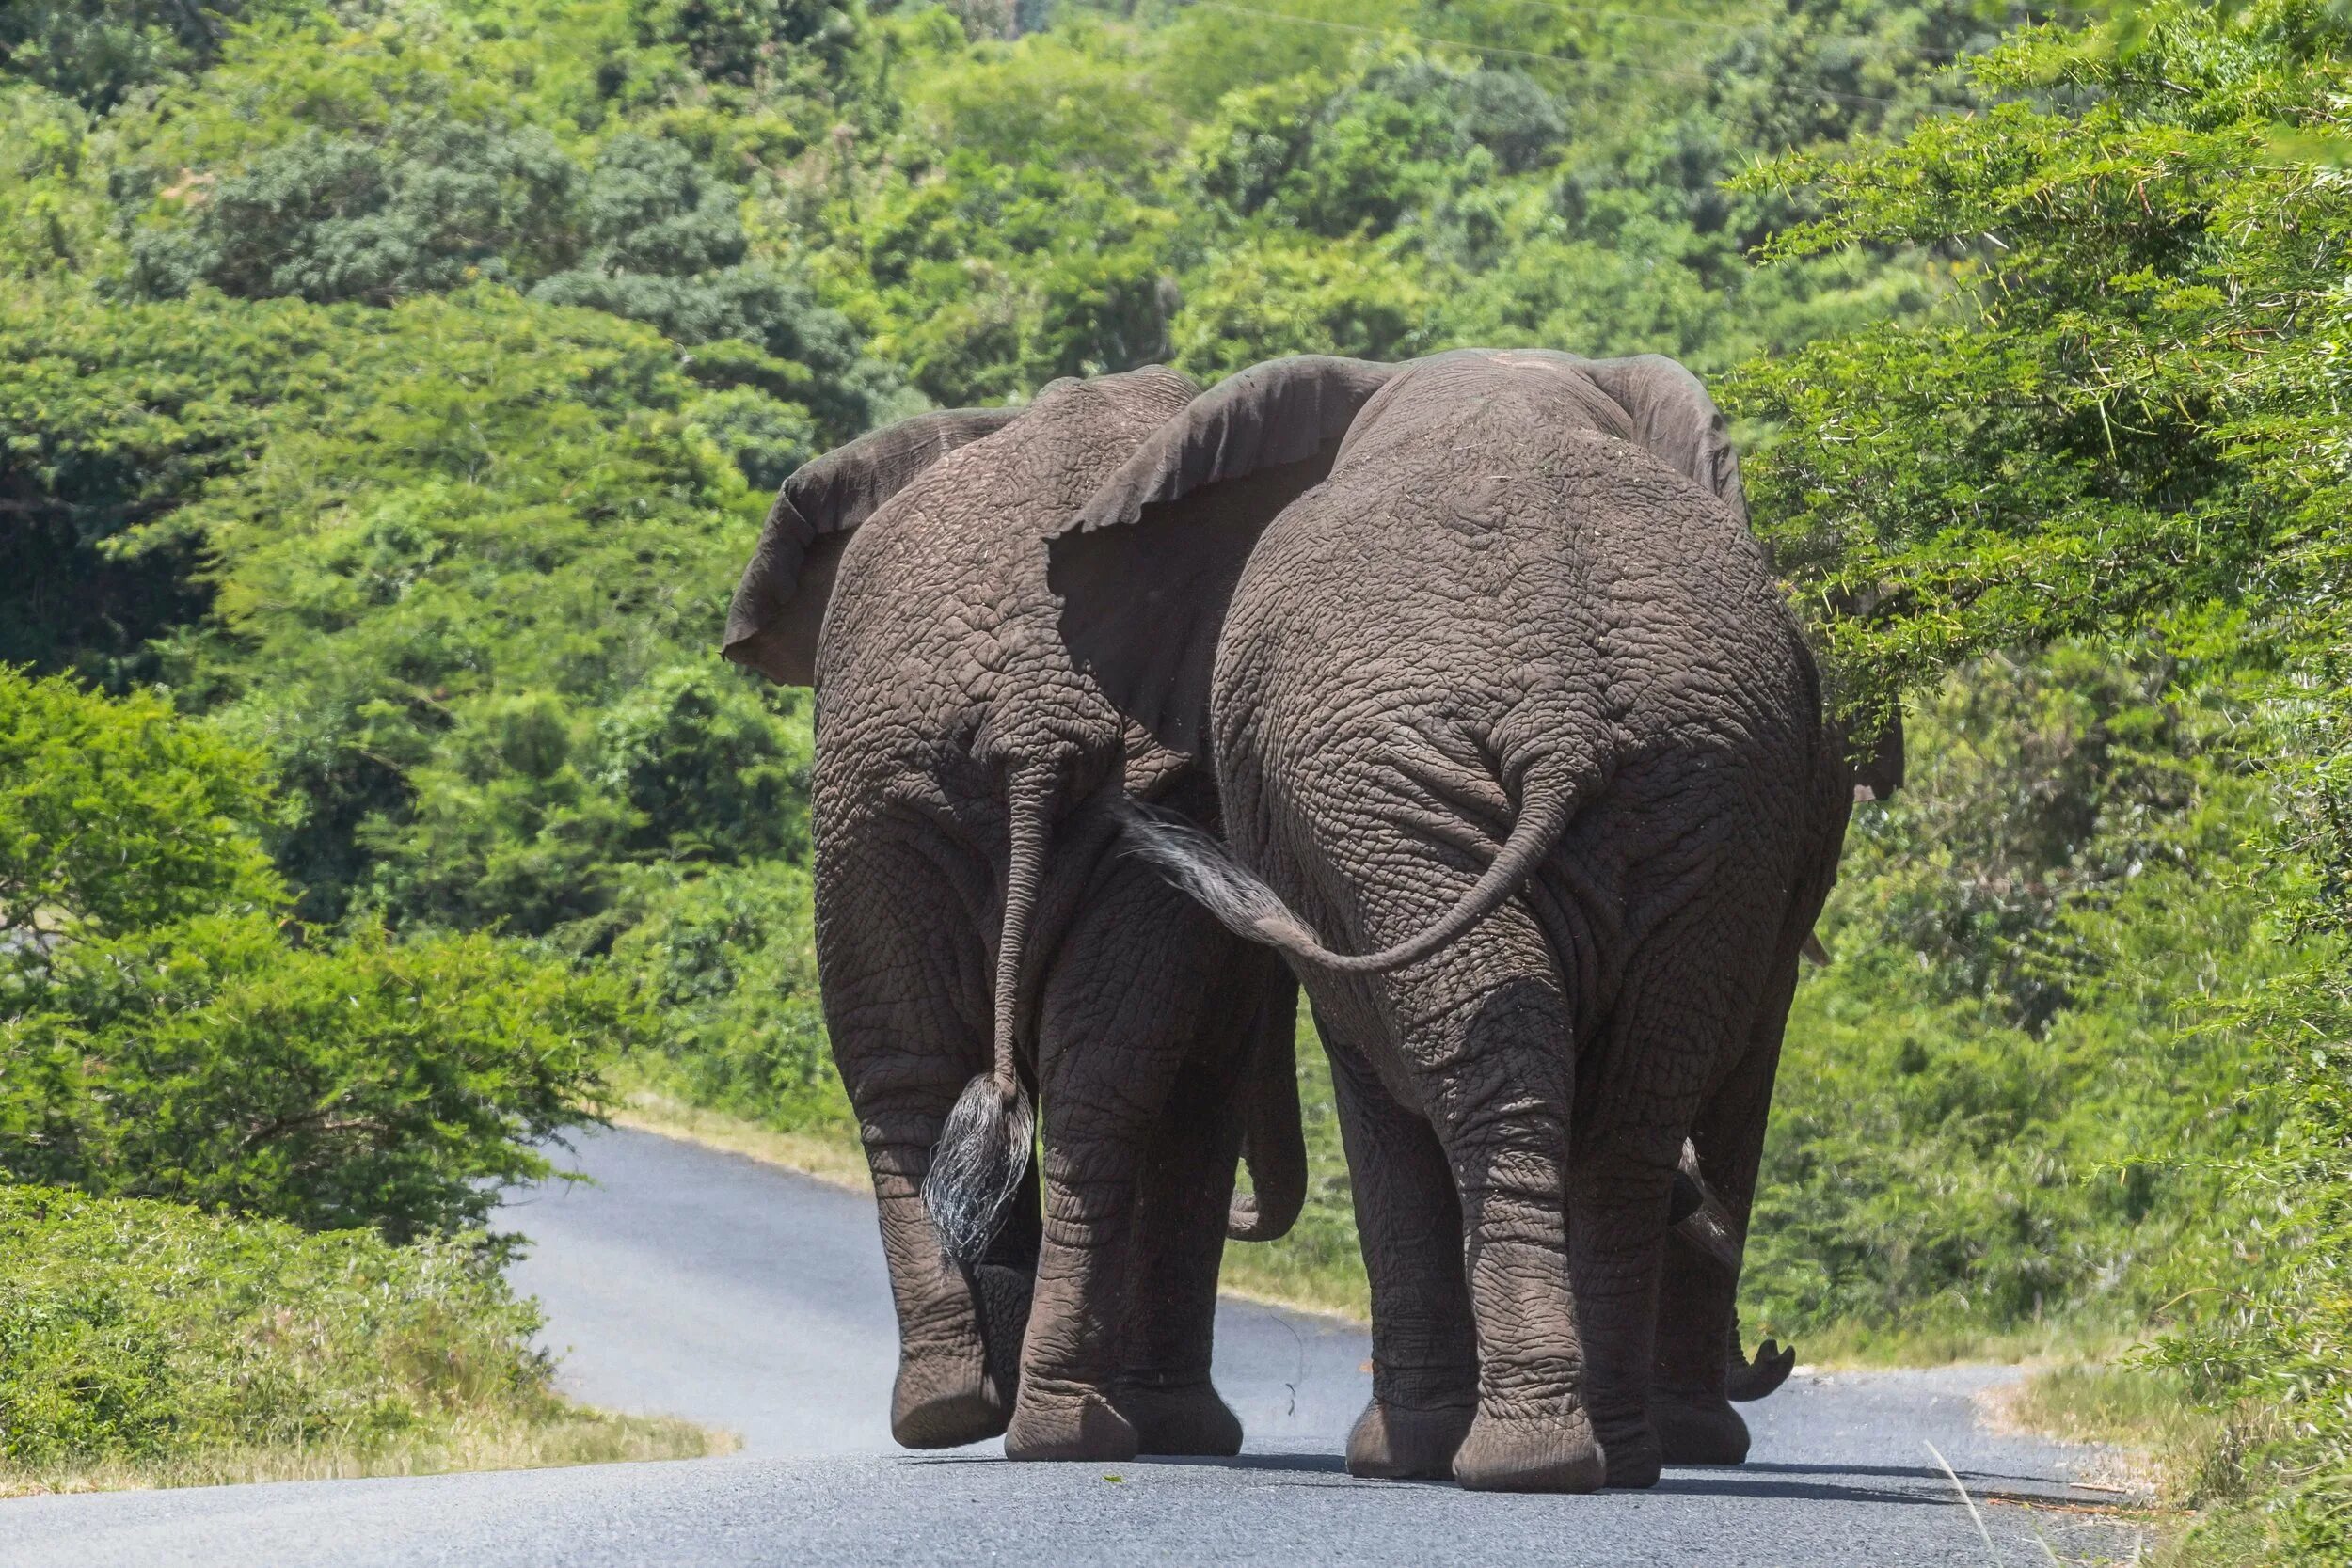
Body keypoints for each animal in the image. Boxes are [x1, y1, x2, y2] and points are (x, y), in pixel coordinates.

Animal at [715, 364, 1308, 1457]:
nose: (1258, 1211)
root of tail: (1035, 720)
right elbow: (1205, 1081)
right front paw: (1184, 1430)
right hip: (937, 796)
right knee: (1077, 1088)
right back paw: (1045, 1421)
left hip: (889, 800)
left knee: (935, 1079)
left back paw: (970, 1413)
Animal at [1049, 350, 1872, 1495]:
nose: (1779, 1348)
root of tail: (1562, 701)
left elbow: (1373, 1093)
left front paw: (1396, 1458)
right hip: (1701, 783)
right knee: (1628, 1105)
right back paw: (1605, 1453)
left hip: (1395, 792)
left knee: (1480, 1072)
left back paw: (1507, 1456)